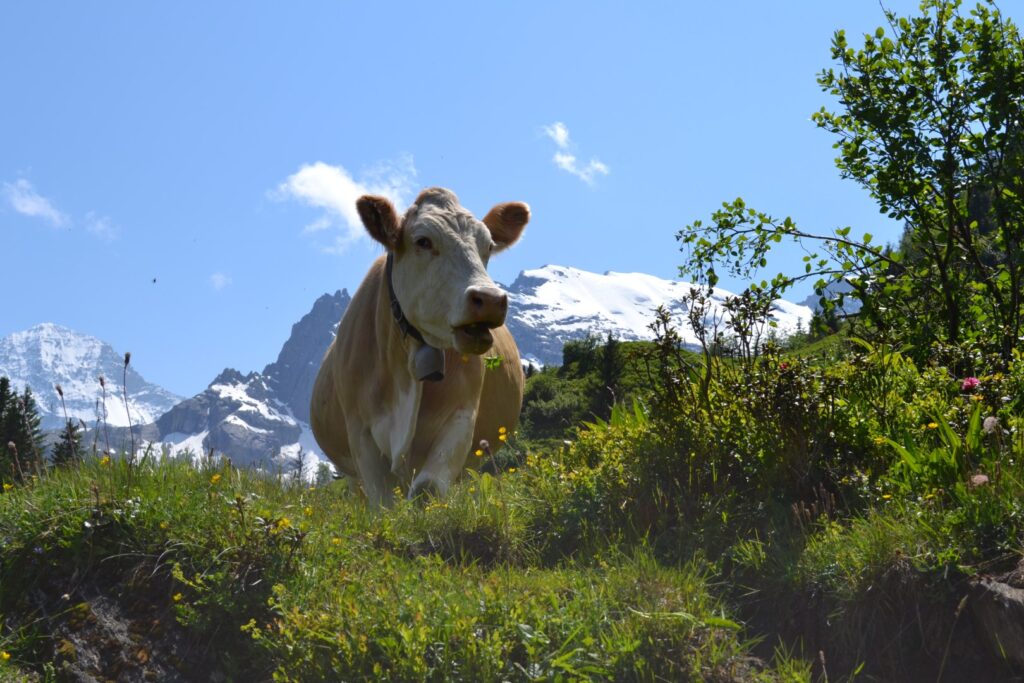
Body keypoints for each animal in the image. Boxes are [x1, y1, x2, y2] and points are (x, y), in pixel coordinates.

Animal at [309, 188, 528, 507]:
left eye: (487, 246)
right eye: (423, 241)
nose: (489, 299)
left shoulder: (461, 417)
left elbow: (428, 488)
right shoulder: (360, 431)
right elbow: (383, 503)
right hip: (351, 473)